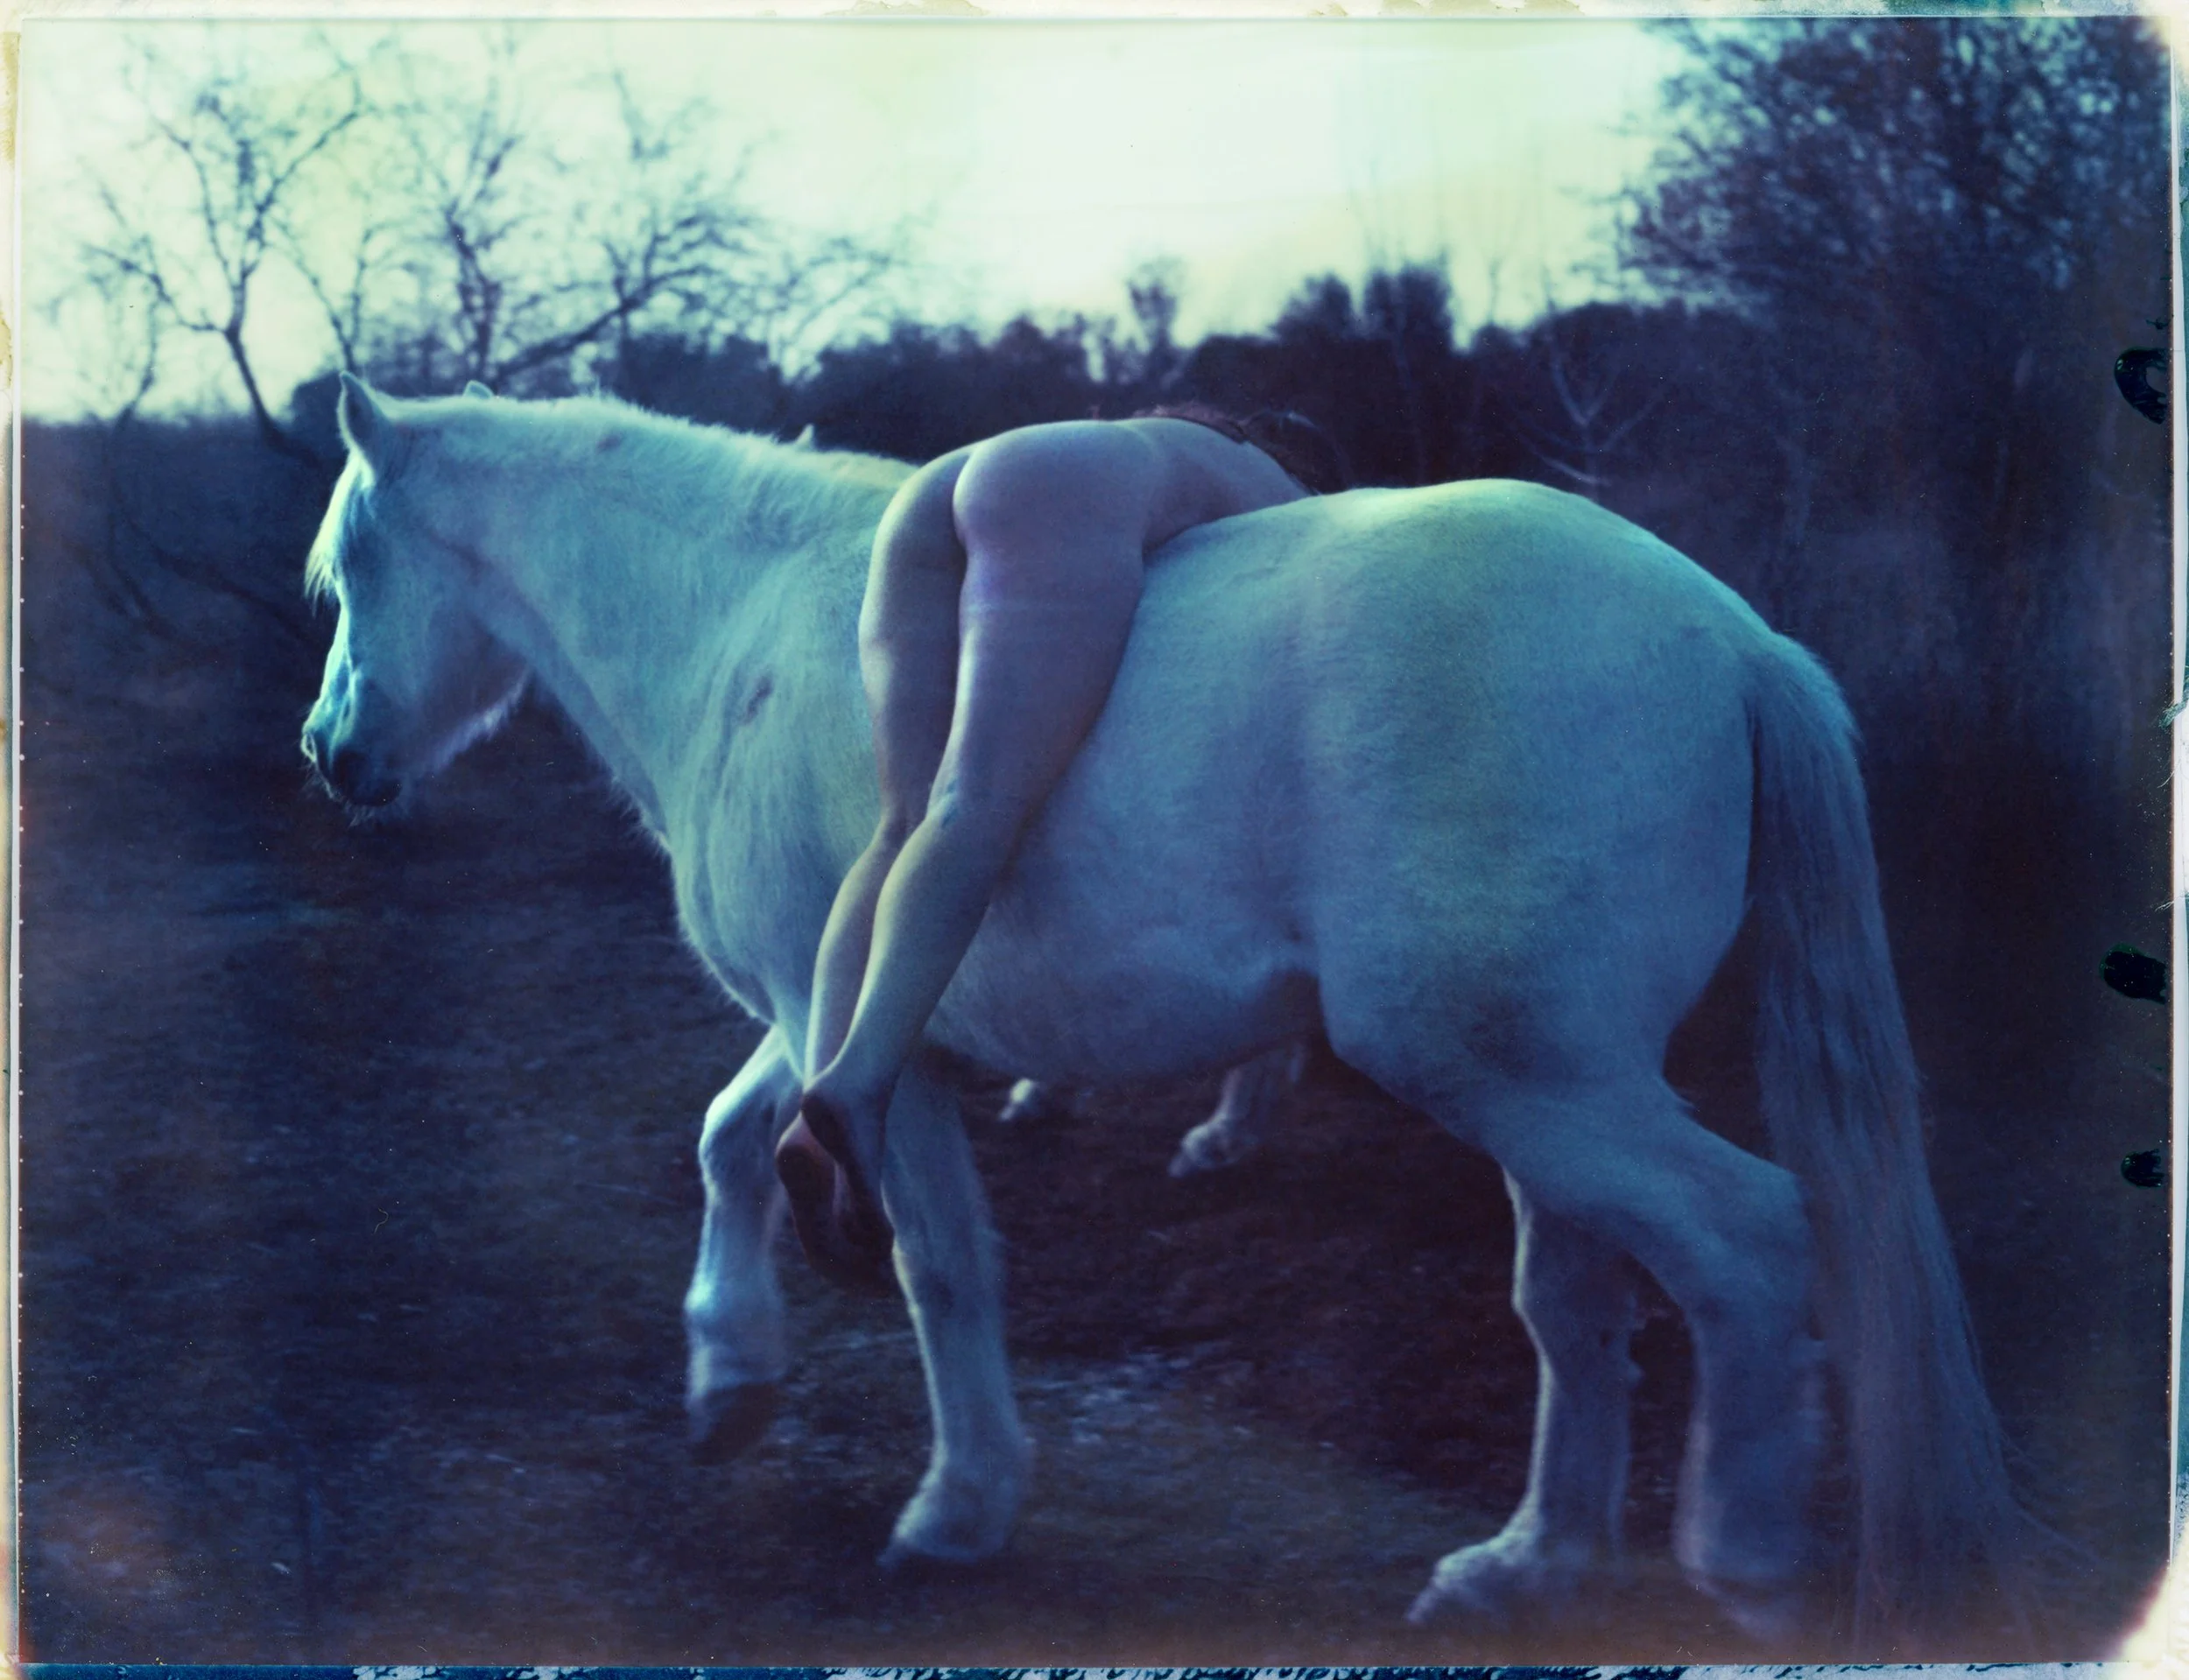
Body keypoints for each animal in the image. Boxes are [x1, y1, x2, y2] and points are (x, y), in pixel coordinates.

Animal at [299, 373, 2034, 1651]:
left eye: (350, 564)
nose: (330, 752)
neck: (741, 623)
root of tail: (1733, 640)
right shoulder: (819, 1014)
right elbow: (732, 1140)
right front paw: (731, 1376)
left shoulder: (859, 1036)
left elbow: (934, 1258)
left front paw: (956, 1506)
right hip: (1552, 1079)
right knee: (1578, 1301)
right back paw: (1524, 1562)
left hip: (1525, 1077)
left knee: (1745, 1241)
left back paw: (1740, 1560)